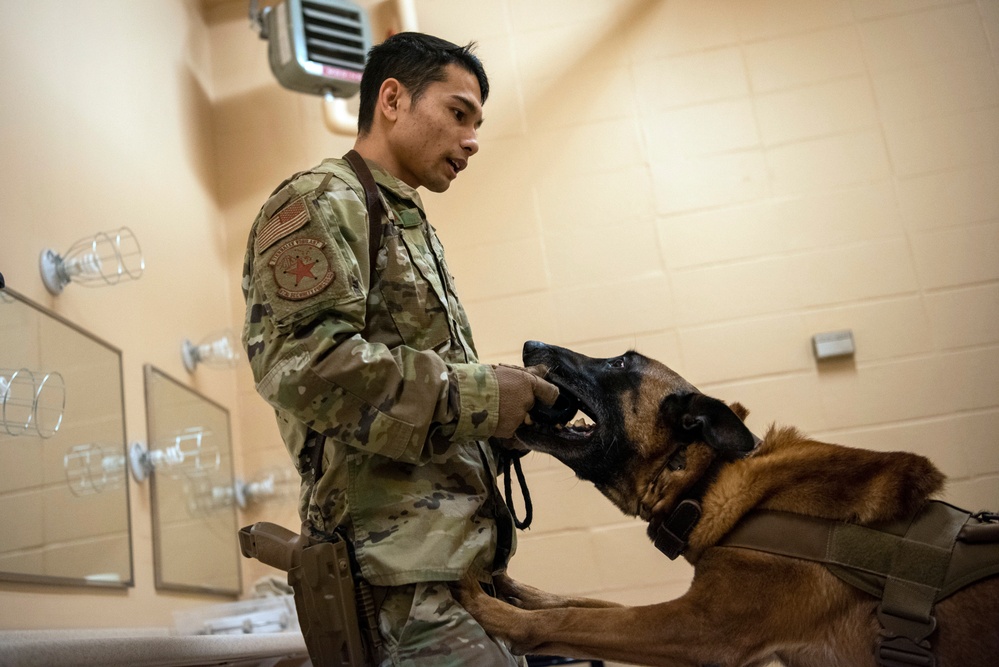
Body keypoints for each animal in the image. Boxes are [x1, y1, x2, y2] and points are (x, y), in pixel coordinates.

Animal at [458, 342, 999, 664]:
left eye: (620, 364)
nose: (530, 345)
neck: (709, 479)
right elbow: (586, 603)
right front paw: (511, 588)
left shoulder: (700, 630)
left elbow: (571, 618)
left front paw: (490, 609)